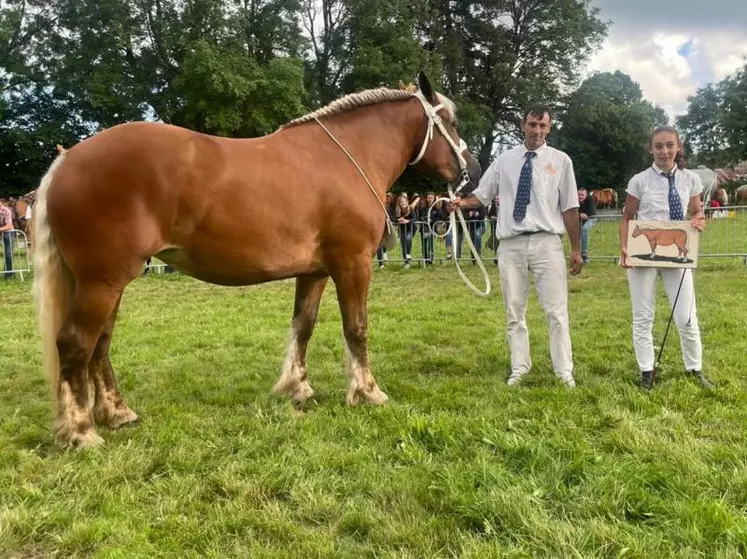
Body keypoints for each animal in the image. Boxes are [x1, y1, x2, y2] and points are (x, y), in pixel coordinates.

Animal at [32, 74, 482, 450]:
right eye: (451, 122)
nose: (474, 172)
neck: (348, 158)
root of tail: (68, 160)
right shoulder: (353, 264)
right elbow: (357, 328)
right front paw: (368, 392)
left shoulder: (315, 271)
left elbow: (303, 325)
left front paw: (298, 387)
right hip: (102, 282)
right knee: (76, 344)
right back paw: (81, 432)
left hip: (107, 283)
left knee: (100, 344)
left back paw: (117, 413)